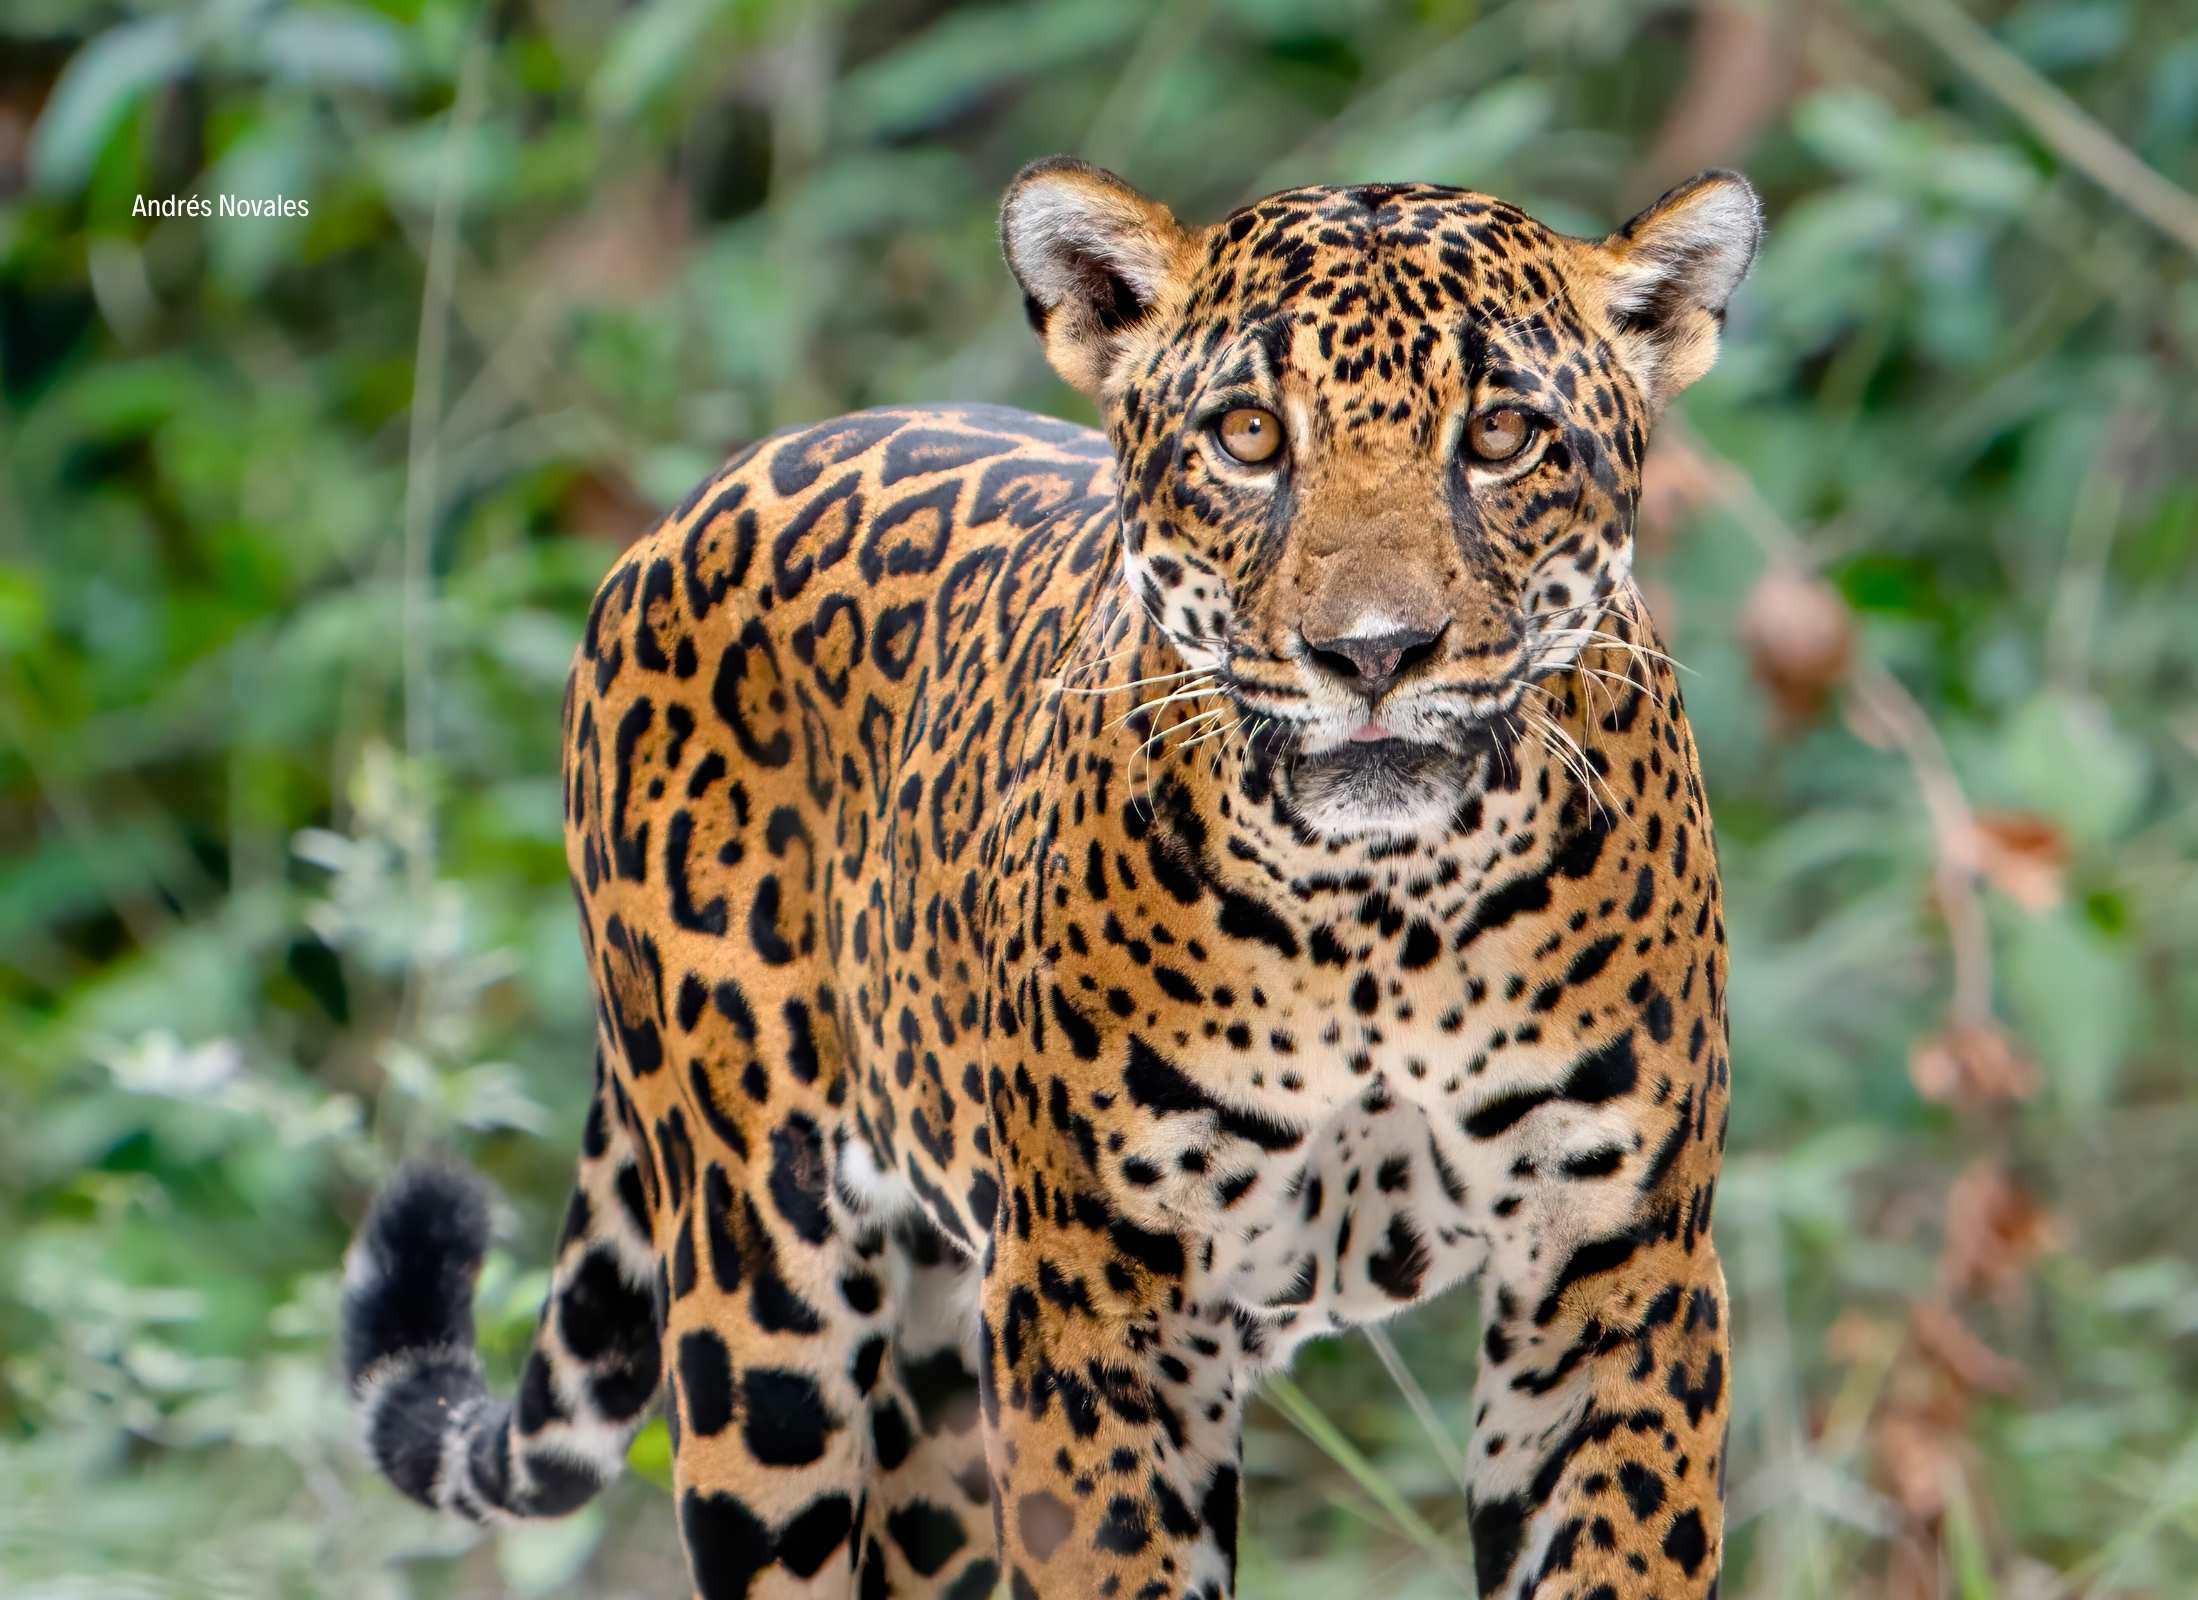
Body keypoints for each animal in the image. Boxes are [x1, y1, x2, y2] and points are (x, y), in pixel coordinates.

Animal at [340, 154, 1758, 1599]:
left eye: (1503, 435)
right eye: (1249, 436)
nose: (1371, 655)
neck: (1380, 912)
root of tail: (693, 501)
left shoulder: (1615, 1275)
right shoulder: (1093, 1292)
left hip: (941, 1398)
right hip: (763, 1297)